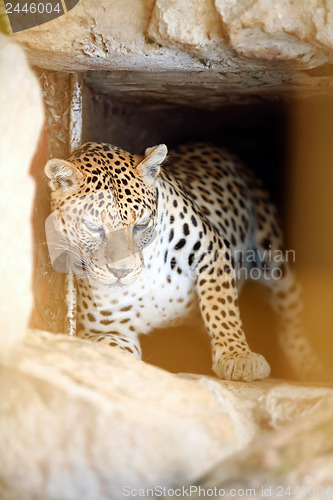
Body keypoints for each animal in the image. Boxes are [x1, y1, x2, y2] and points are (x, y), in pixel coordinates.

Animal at [44, 141, 322, 382]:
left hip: (275, 263)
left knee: (291, 321)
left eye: (141, 225)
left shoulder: (212, 250)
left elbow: (222, 309)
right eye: (93, 228)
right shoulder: (106, 330)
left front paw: (237, 356)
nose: (122, 272)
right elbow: (116, 352)